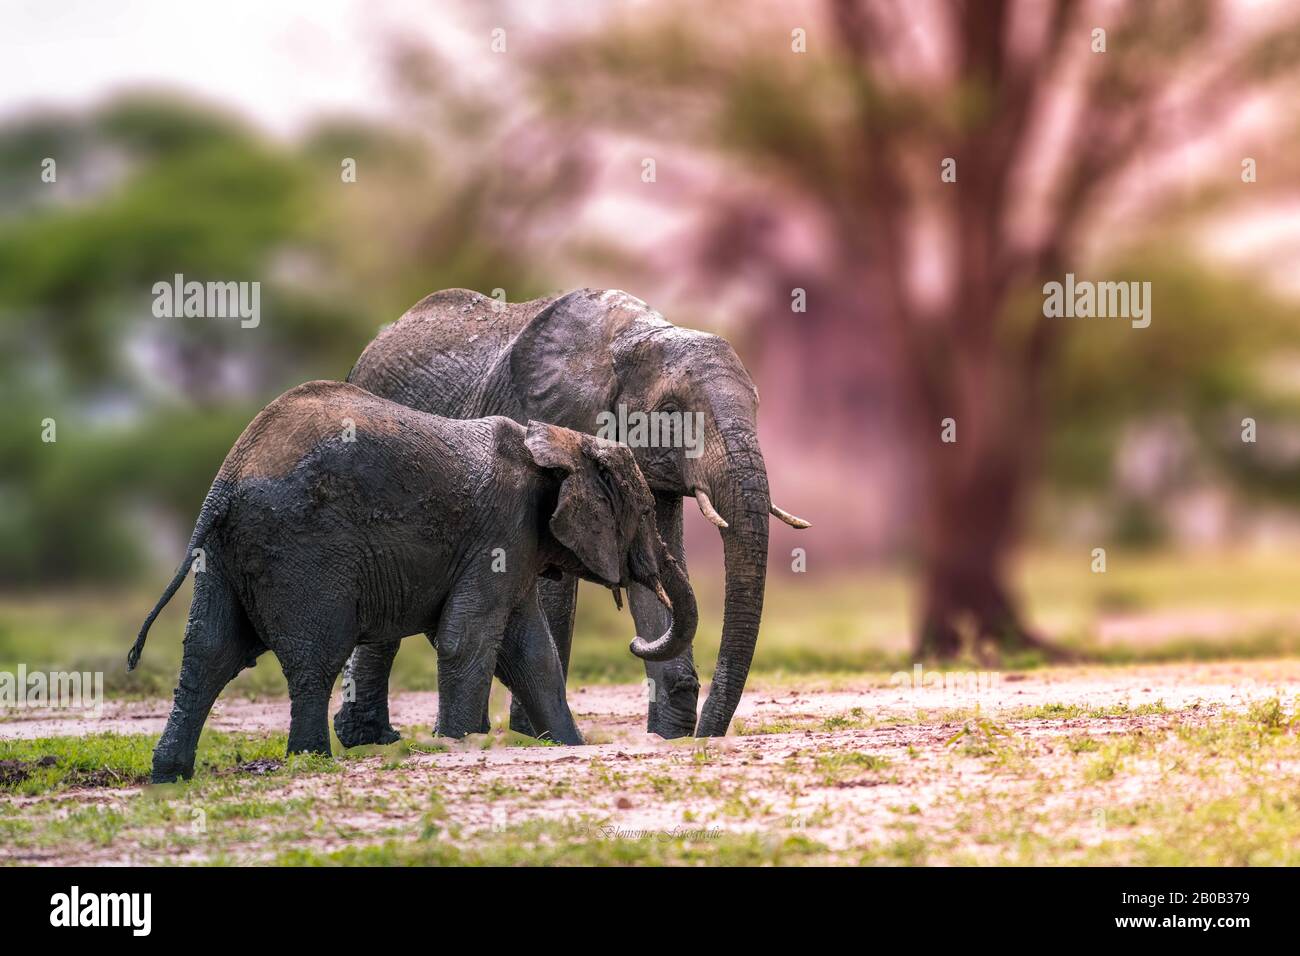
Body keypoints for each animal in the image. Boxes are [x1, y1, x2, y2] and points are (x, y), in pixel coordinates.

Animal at [126, 382, 696, 785]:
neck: (562, 443)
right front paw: (455, 745)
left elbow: (533, 653)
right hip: (302, 550)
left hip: (223, 557)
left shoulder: (516, 544)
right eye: (646, 511)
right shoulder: (502, 530)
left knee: (207, 652)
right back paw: (310, 759)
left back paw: (168, 776)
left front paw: (572, 745)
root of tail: (222, 485)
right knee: (315, 655)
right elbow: (468, 637)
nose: (635, 639)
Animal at [332, 286, 800, 738]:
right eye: (670, 415)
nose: (706, 736)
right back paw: (374, 740)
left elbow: (654, 569)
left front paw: (670, 736)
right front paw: (531, 735)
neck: (631, 338)